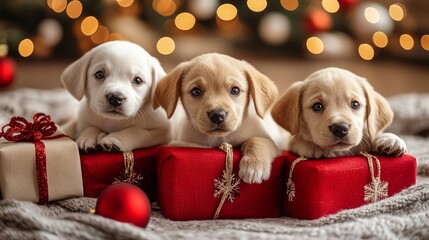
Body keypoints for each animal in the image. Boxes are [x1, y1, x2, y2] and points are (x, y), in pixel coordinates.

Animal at [152, 53, 286, 184]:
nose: (217, 115)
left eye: (235, 90)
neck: (220, 138)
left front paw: (255, 166)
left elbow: (258, 140)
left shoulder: (272, 141)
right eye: (196, 91)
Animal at [270, 66, 404, 158]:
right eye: (317, 106)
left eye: (355, 104)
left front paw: (390, 139)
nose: (340, 128)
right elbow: (294, 141)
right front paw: (311, 146)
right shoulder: (288, 139)